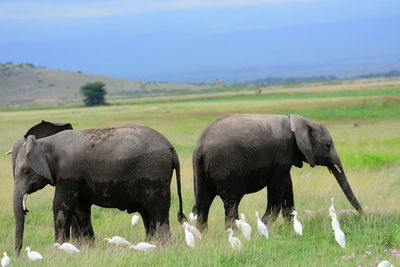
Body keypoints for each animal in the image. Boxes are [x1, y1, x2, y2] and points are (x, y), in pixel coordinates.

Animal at [10, 121, 186, 255]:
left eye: (26, 172)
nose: (18, 255)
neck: (46, 143)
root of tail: (171, 149)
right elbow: (80, 208)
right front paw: (86, 249)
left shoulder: (69, 173)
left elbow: (61, 205)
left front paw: (59, 250)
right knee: (147, 213)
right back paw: (149, 244)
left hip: (154, 173)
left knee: (157, 209)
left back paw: (162, 247)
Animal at [192, 114, 364, 231]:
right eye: (328, 145)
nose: (362, 215)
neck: (299, 121)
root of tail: (201, 147)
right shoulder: (283, 152)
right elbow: (277, 187)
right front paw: (263, 228)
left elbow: (287, 185)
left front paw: (290, 228)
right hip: (227, 167)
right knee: (231, 203)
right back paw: (235, 233)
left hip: (199, 171)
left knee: (203, 203)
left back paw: (202, 237)